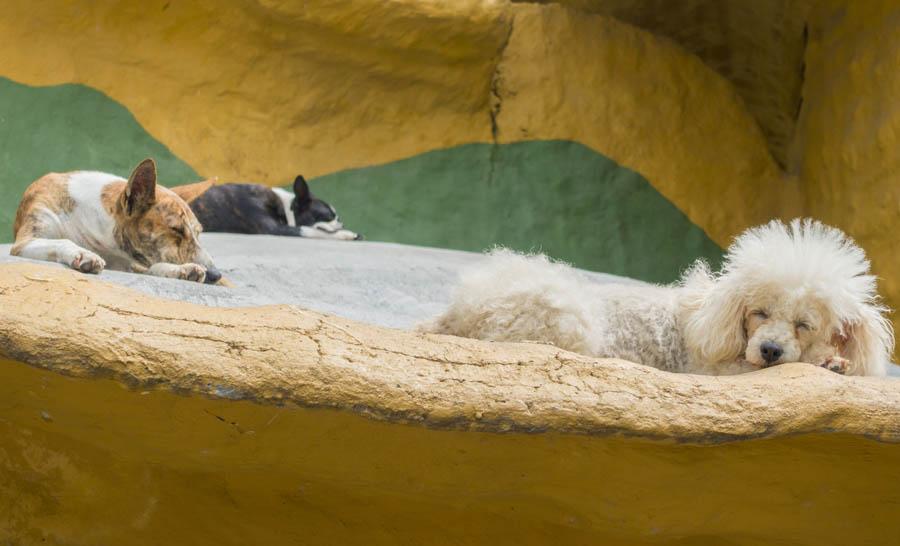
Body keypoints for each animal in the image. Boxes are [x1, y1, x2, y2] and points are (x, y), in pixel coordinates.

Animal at [11, 157, 223, 282]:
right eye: (176, 229)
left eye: (199, 232)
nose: (216, 275)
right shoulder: (25, 241)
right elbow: (63, 241)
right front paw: (83, 254)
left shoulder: (131, 266)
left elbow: (153, 267)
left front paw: (181, 270)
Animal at [172, 174, 358, 238]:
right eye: (328, 216)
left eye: (337, 216)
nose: (341, 223)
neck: (284, 206)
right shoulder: (273, 228)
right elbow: (312, 231)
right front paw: (348, 234)